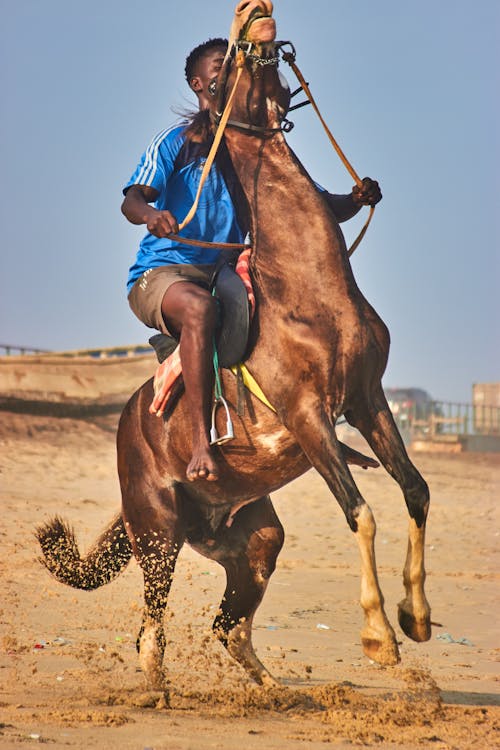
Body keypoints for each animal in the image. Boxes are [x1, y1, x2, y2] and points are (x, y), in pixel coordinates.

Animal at [37, 0, 432, 692]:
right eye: (222, 71)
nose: (256, 14)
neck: (312, 290)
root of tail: (129, 424)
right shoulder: (307, 414)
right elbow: (361, 512)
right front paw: (380, 638)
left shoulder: (367, 399)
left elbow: (414, 491)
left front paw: (416, 617)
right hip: (158, 528)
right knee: (152, 623)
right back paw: (156, 688)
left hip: (250, 537)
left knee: (227, 625)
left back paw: (277, 693)